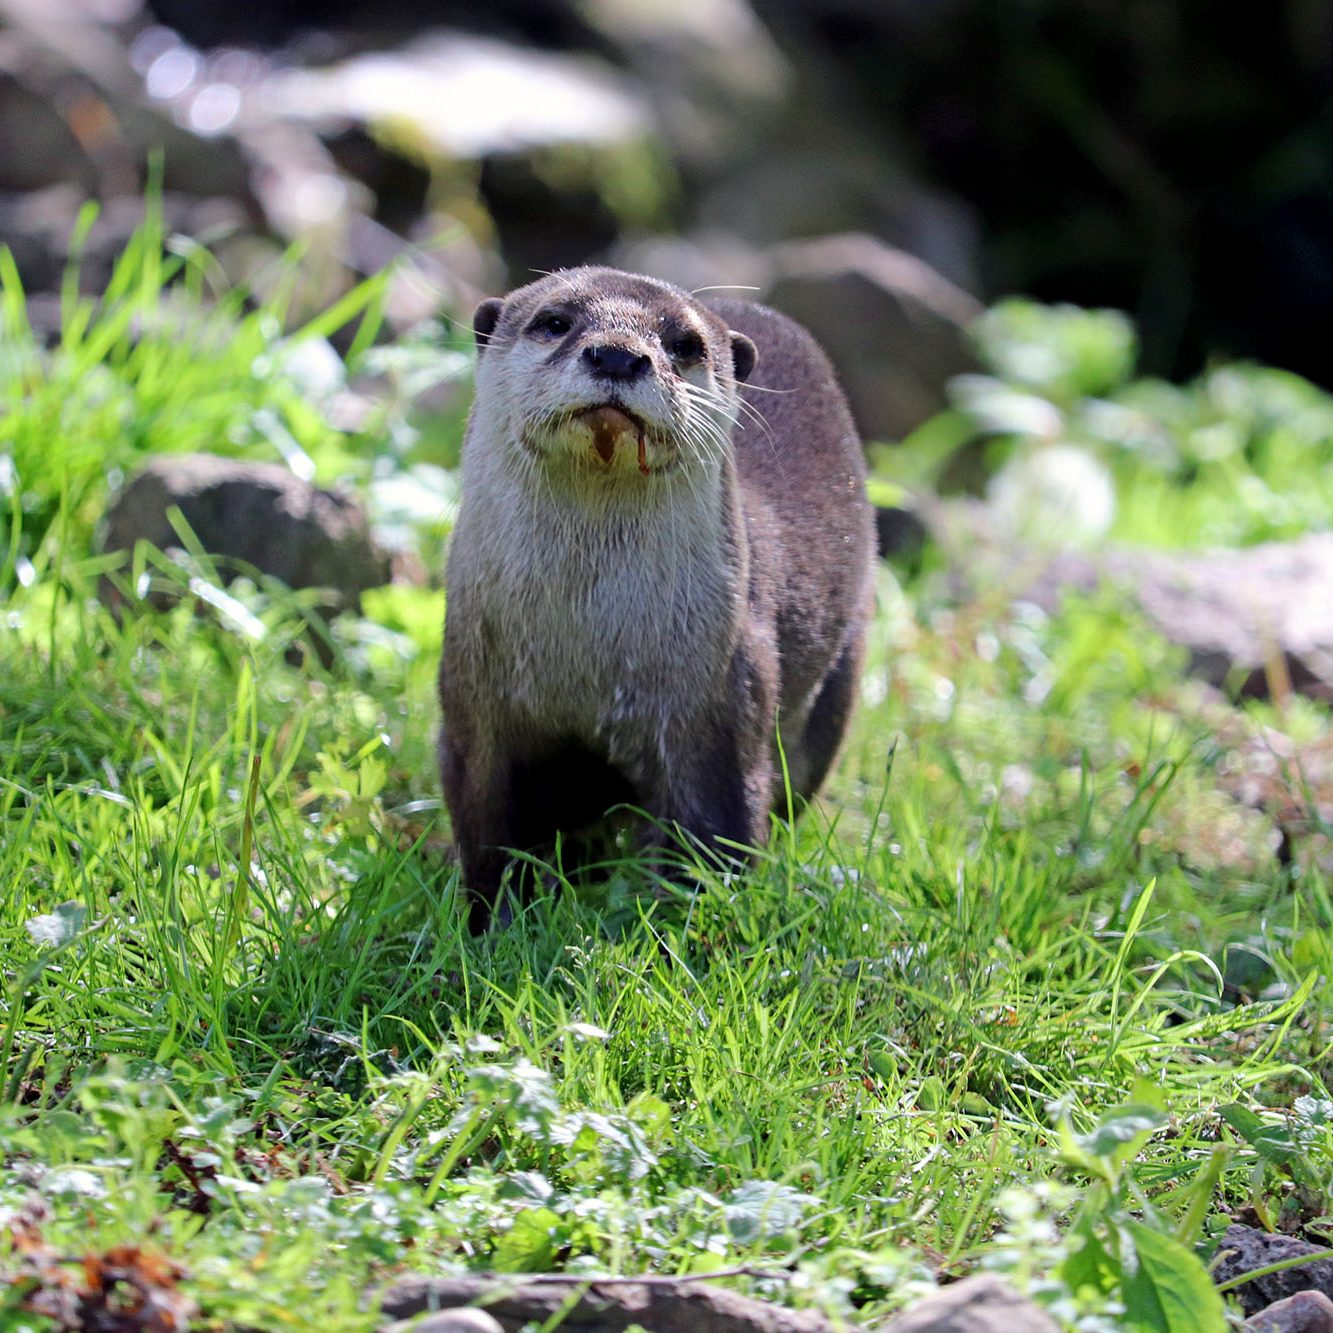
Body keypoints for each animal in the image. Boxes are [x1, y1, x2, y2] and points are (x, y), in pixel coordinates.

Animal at [437, 266, 874, 933]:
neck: (587, 645)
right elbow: (487, 824)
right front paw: (491, 922)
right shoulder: (473, 701)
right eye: (554, 321)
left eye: (686, 344)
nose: (618, 355)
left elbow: (716, 837)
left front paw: (685, 927)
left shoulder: (721, 707)